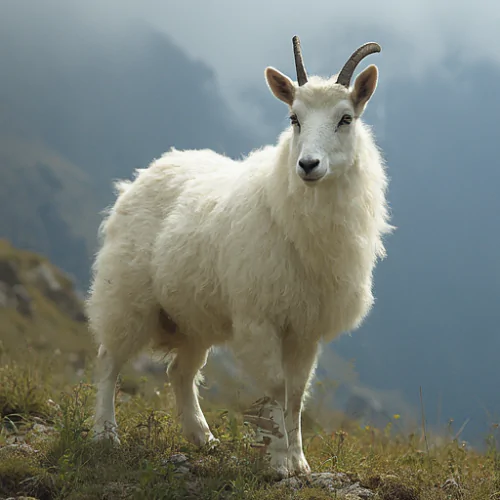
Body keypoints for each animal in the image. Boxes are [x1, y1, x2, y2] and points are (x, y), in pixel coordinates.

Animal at [88, 37, 392, 478]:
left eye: (346, 119)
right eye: (294, 118)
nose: (308, 165)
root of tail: (146, 172)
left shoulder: (305, 329)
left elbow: (297, 393)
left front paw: (300, 462)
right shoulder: (260, 318)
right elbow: (277, 386)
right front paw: (280, 462)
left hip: (193, 317)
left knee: (180, 373)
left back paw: (204, 438)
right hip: (126, 297)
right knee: (109, 360)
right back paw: (105, 434)